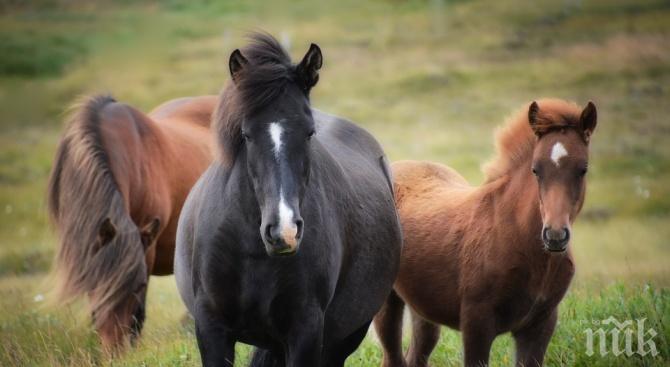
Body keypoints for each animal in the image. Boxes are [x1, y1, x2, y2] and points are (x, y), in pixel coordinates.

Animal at [175, 33, 404, 366]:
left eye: (309, 133)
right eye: (246, 134)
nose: (283, 231)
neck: (253, 251)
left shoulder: (305, 331)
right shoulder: (211, 328)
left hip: (345, 336)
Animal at [376, 99, 600, 366]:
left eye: (583, 169)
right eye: (536, 170)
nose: (555, 236)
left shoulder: (540, 324)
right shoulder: (477, 323)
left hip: (423, 307)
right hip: (387, 302)